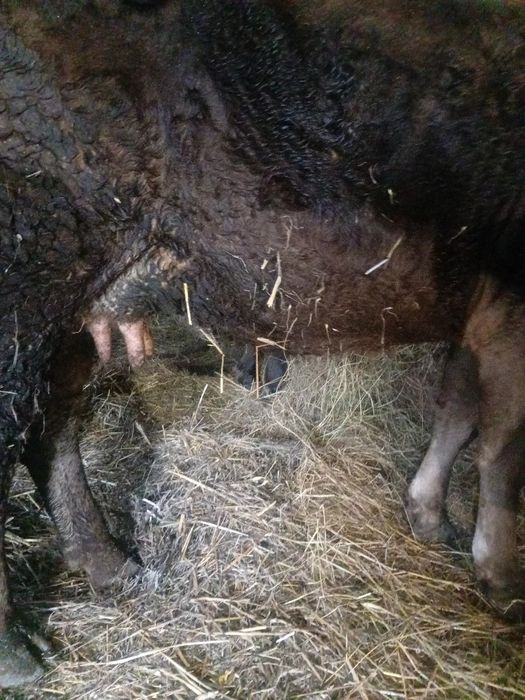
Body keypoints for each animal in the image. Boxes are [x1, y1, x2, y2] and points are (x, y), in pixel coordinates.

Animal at [0, 0, 524, 685]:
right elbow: (502, 447)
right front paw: (500, 576)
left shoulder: (477, 305)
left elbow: (460, 409)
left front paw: (428, 514)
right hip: (29, 277)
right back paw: (18, 651)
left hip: (76, 301)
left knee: (52, 428)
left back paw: (109, 565)